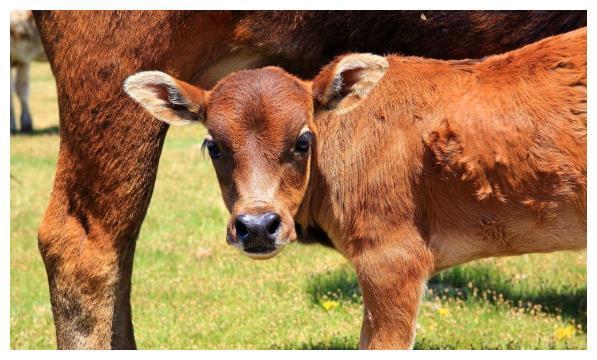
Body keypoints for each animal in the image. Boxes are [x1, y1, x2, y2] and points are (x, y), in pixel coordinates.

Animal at [33, 10, 588, 348]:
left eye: (304, 139)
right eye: (214, 145)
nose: (257, 226)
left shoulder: (395, 263)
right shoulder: (392, 263)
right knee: (84, 246)